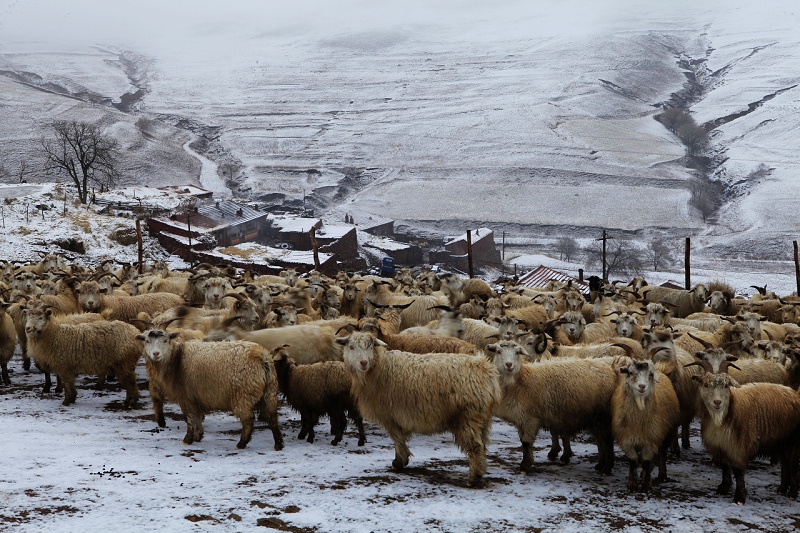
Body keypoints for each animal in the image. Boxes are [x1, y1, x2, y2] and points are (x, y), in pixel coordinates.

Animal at [338, 332, 500, 486]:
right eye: (351, 347)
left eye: (370, 346)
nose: (363, 363)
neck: (379, 368)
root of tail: (484, 368)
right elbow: (399, 439)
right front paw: (401, 461)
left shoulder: (391, 416)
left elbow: (397, 439)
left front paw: (398, 462)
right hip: (483, 418)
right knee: (483, 445)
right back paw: (480, 471)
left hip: (468, 417)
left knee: (476, 447)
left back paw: (473, 478)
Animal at [488, 338, 612, 472]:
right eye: (498, 351)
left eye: (517, 352)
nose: (509, 365)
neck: (520, 381)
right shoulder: (521, 418)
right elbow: (523, 442)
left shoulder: (531, 418)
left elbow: (527, 443)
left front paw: (525, 466)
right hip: (594, 418)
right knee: (601, 440)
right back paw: (600, 464)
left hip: (602, 416)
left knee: (606, 441)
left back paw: (606, 468)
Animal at [612, 358, 680, 490]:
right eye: (631, 373)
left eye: (651, 374)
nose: (642, 386)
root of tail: (661, 370)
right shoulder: (626, 440)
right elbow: (633, 460)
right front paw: (632, 484)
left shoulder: (651, 439)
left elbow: (646, 461)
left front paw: (646, 485)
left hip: (666, 434)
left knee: (662, 453)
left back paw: (662, 475)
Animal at [692, 366, 800, 502]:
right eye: (705, 385)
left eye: (726, 386)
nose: (717, 402)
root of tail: (794, 394)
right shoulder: (722, 445)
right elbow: (725, 467)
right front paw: (723, 488)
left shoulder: (739, 446)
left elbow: (738, 472)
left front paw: (739, 497)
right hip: (782, 442)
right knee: (785, 465)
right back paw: (782, 489)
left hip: (794, 442)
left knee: (793, 465)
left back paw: (792, 493)